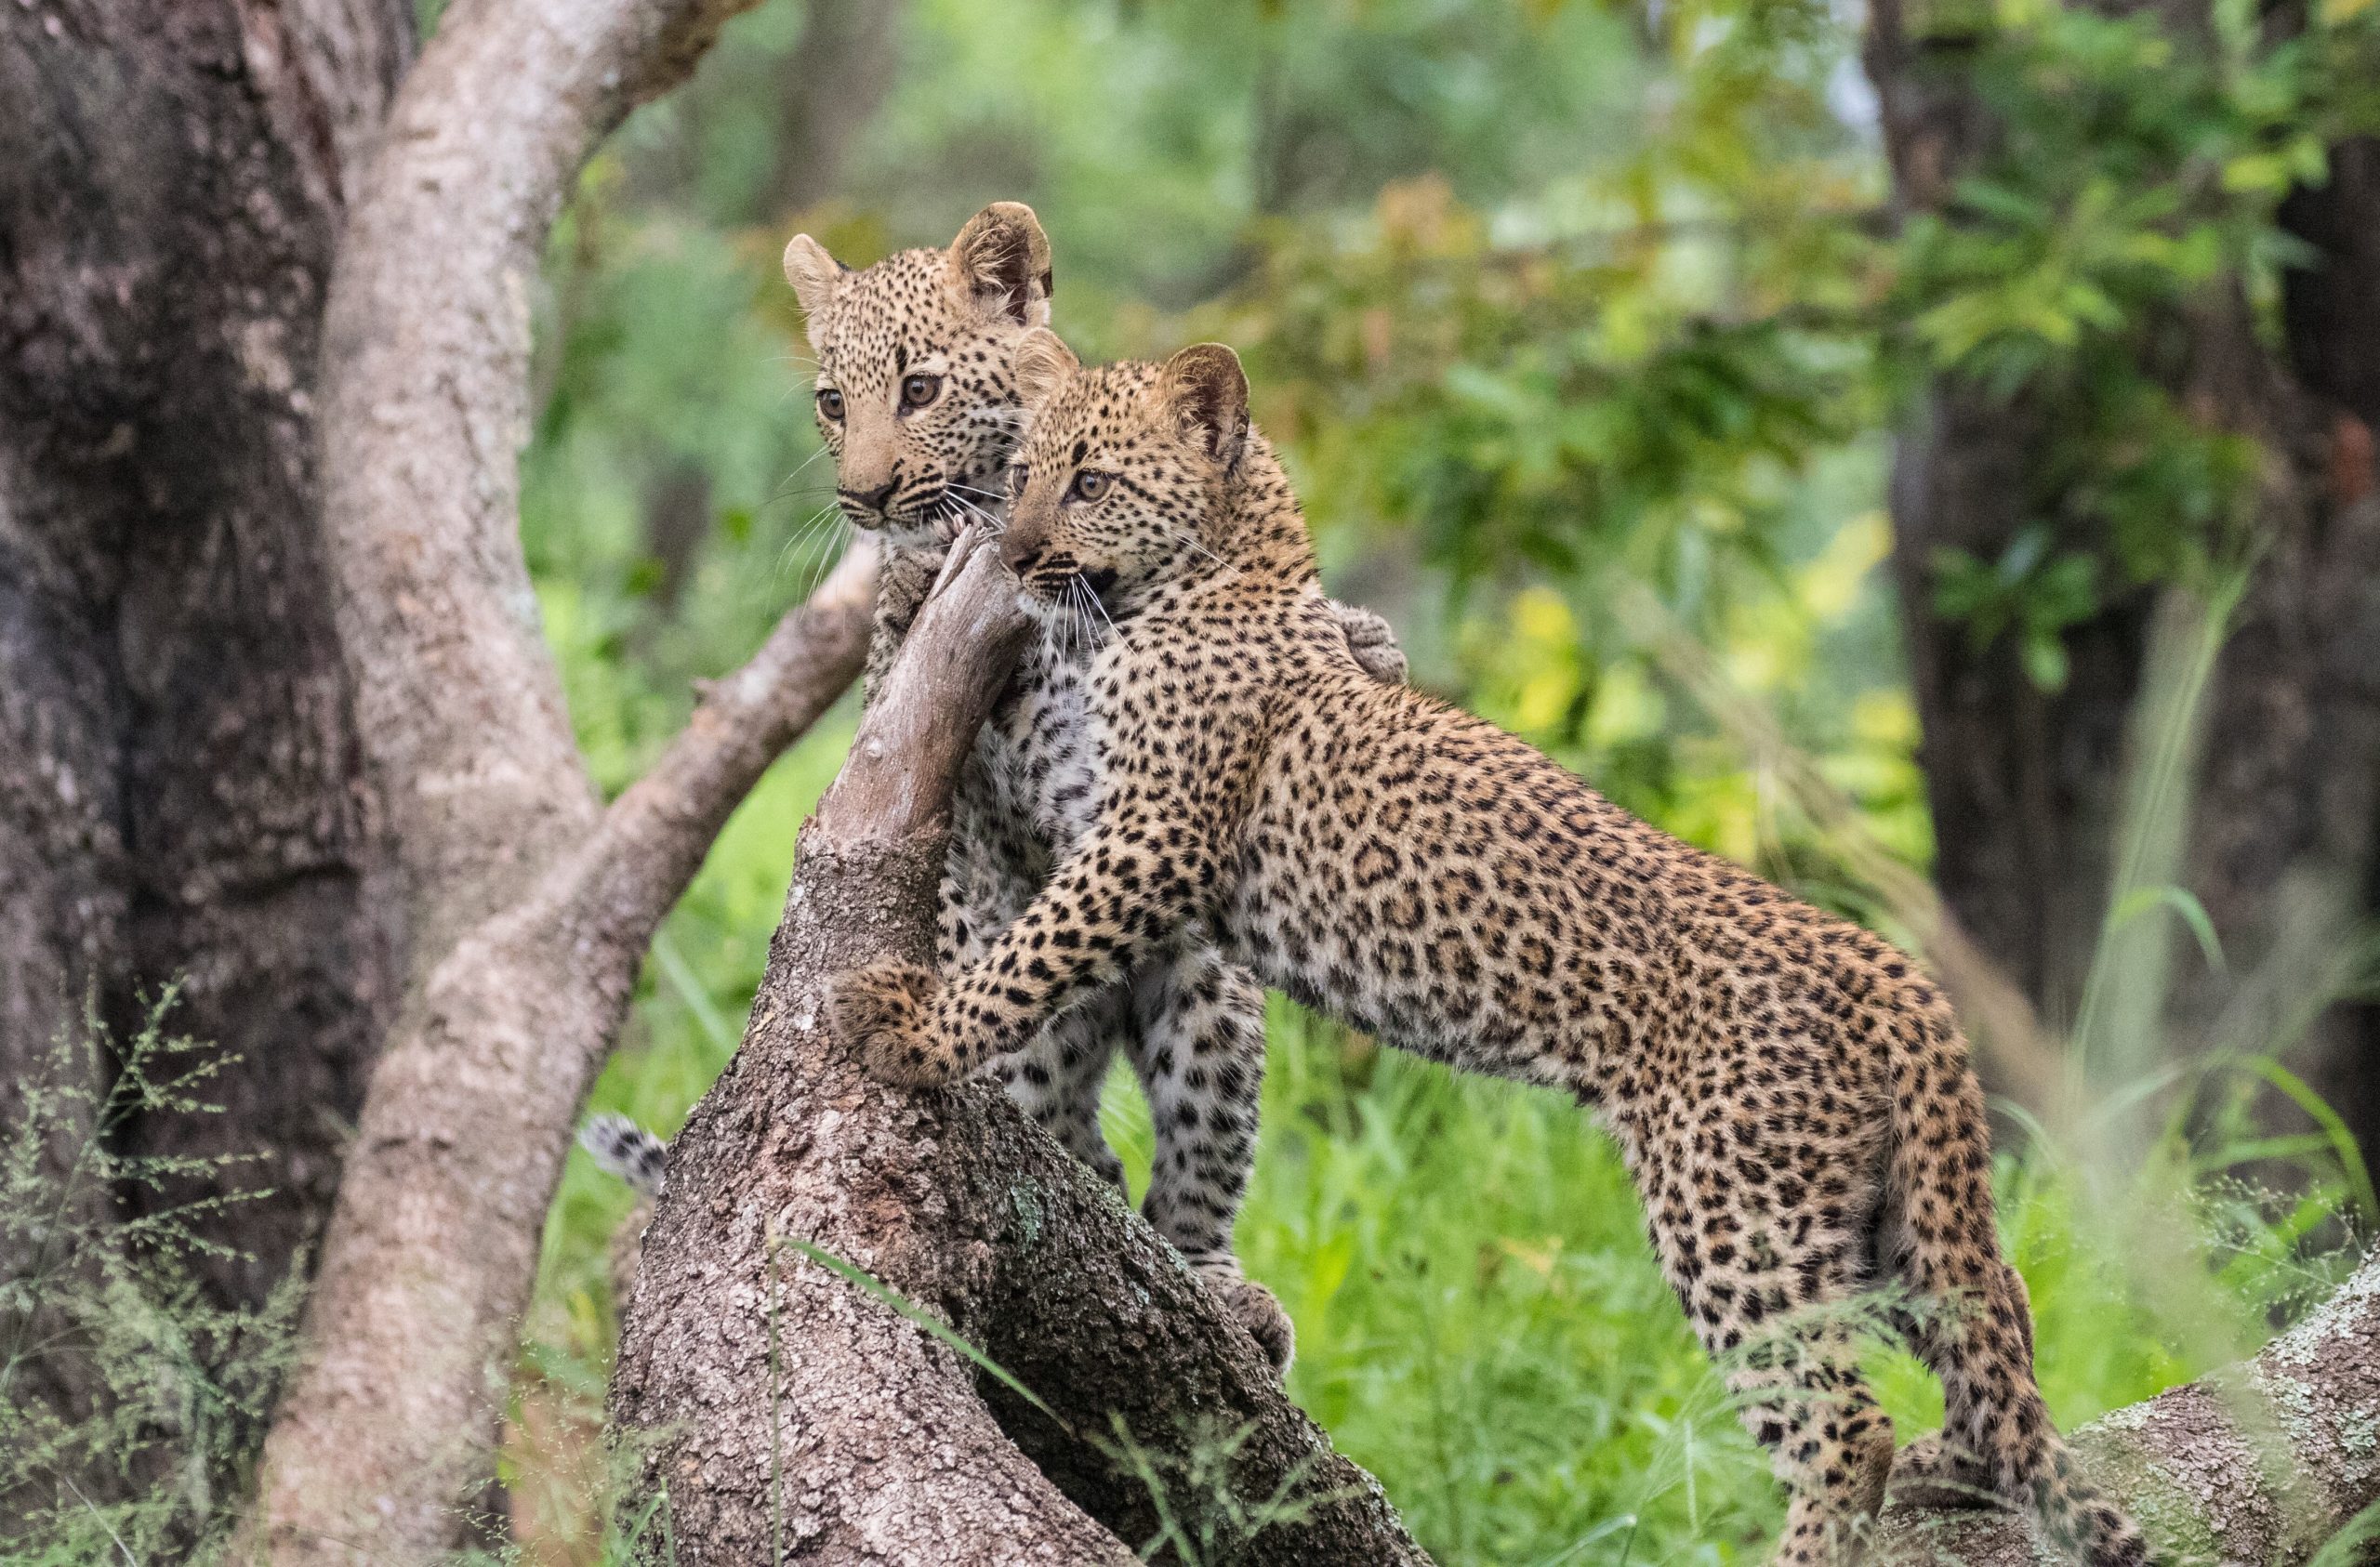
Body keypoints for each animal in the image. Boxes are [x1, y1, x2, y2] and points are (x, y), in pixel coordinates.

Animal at [828, 330, 2150, 1567]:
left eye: (1091, 481)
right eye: (1025, 474)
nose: (1013, 555)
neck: (1220, 578)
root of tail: (1894, 976)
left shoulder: (1152, 842)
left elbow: (1027, 958)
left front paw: (904, 1026)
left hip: (1733, 1211)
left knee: (1840, 1420)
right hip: (1875, 1213)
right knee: (1998, 1325)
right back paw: (1962, 1468)